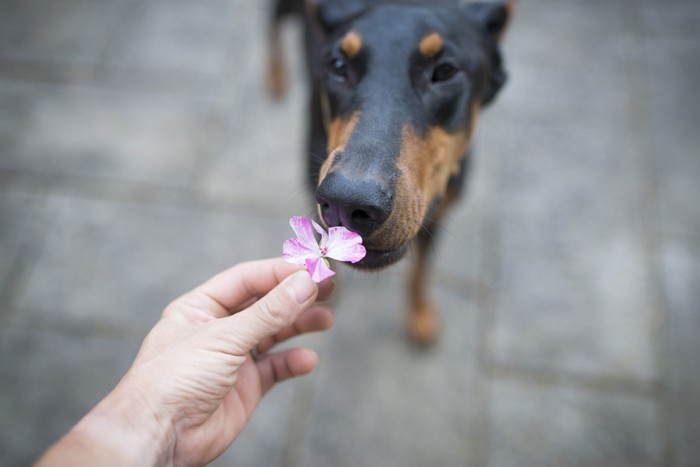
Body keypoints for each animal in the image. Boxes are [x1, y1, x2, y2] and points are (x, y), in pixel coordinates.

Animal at [270, 0, 512, 344]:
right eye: (338, 65)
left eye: (446, 71)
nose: (346, 202)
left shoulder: (438, 210)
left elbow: (422, 270)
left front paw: (420, 314)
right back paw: (275, 76)